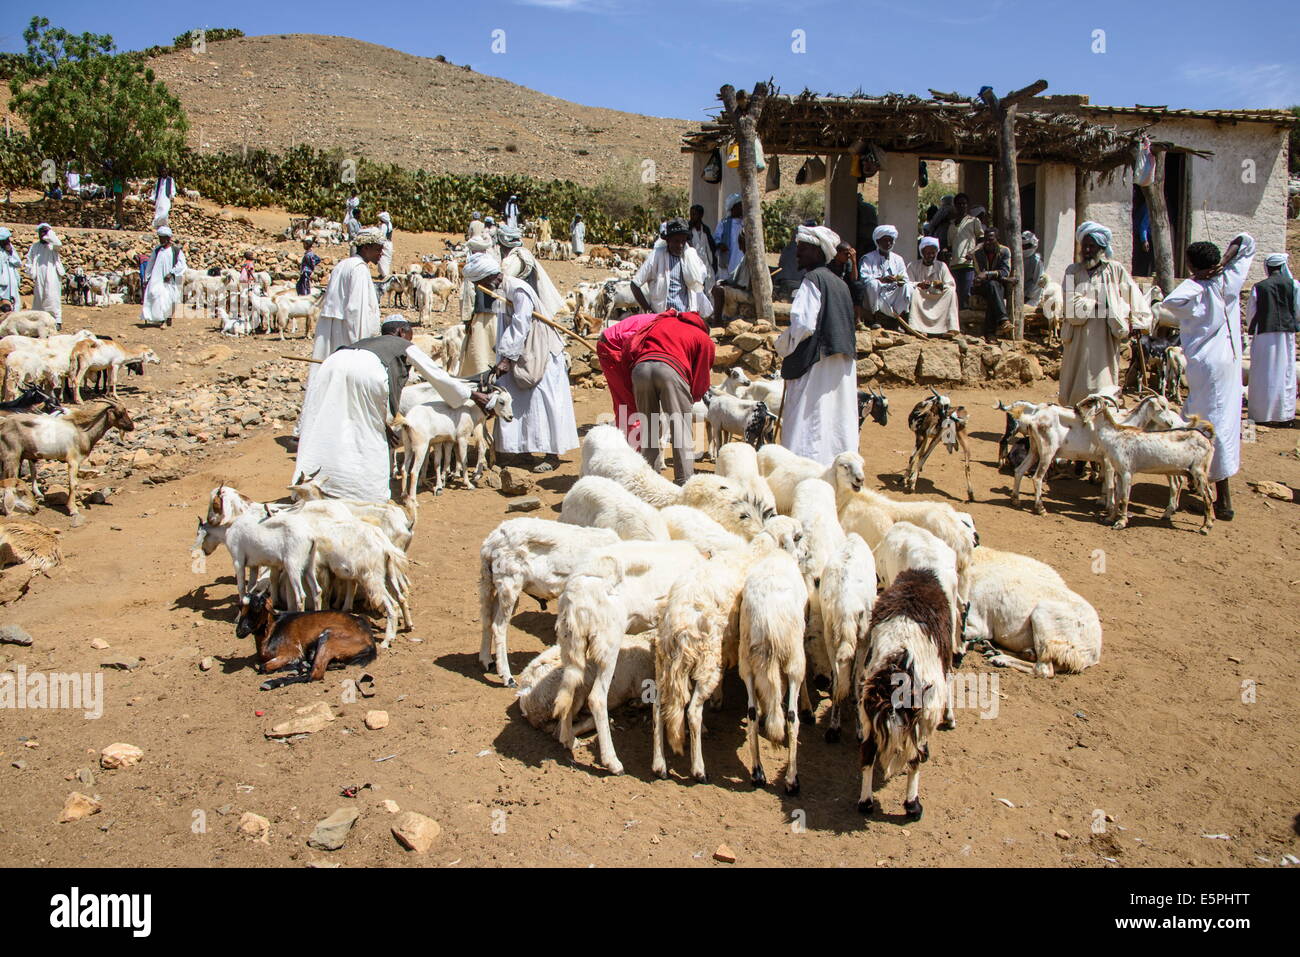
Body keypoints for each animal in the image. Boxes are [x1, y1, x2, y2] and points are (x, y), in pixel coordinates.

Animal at [236, 590, 377, 686]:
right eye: (240, 607)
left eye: (257, 608)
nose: (239, 632)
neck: (272, 630)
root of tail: (369, 639)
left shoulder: (292, 652)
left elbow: (263, 667)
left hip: (328, 638)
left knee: (315, 674)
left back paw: (271, 683)